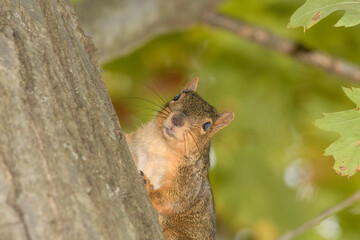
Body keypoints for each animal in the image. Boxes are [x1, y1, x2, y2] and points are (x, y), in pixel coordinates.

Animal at [125, 78, 235, 239]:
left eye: (207, 125)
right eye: (177, 96)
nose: (177, 119)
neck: (162, 144)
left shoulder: (190, 178)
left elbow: (175, 198)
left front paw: (147, 186)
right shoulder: (134, 145)